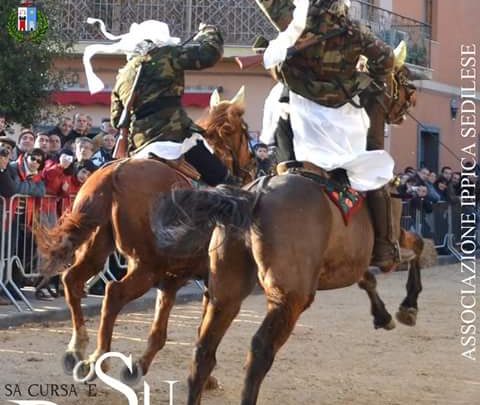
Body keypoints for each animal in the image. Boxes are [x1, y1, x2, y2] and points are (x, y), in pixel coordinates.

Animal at [36, 87, 255, 384]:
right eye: (244, 131)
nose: (252, 165)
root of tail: (113, 174)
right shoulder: (205, 281)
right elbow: (202, 332)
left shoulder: (172, 280)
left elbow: (160, 331)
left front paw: (140, 365)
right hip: (144, 267)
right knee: (113, 293)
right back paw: (99, 357)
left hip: (97, 249)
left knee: (72, 280)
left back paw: (76, 349)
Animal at [151, 60, 424, 404]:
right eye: (398, 78)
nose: (411, 97)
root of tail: (252, 196)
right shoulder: (392, 238)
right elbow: (418, 247)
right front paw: (408, 306)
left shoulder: (350, 260)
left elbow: (369, 278)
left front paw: (383, 314)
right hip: (288, 298)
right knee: (259, 351)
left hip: (225, 291)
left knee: (203, 351)